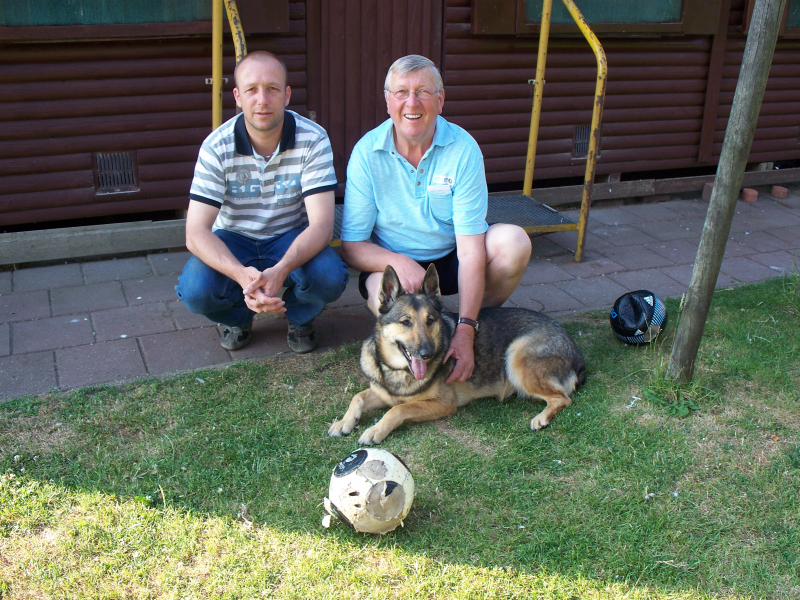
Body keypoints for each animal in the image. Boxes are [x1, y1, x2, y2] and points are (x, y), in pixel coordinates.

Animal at [328, 264, 584, 446]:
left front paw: (375, 430)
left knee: (563, 398)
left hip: (516, 358)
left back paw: (542, 418)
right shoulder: (381, 393)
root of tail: (573, 348)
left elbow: (398, 409)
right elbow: (358, 397)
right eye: (406, 322)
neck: (398, 371)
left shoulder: (442, 403)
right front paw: (344, 422)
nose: (428, 353)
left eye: (430, 321)